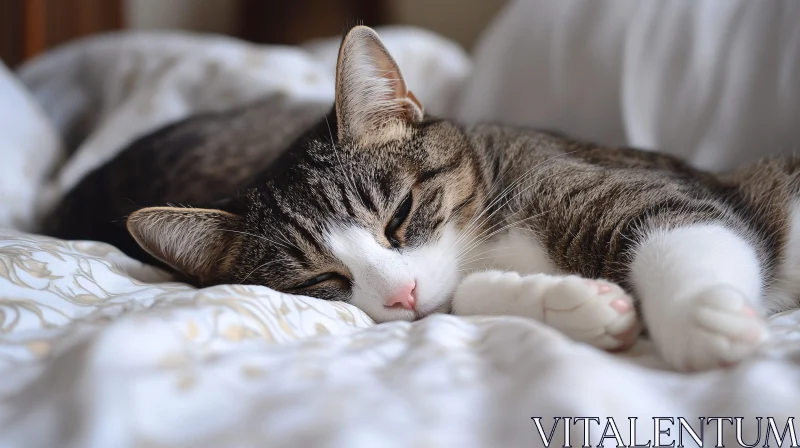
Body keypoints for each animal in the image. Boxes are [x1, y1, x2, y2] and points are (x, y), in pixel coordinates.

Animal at [45, 25, 800, 372]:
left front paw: (702, 317)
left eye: (400, 215)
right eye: (321, 280)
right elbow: (464, 298)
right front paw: (576, 304)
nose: (403, 294)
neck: (484, 235)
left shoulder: (626, 182)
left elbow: (677, 221)